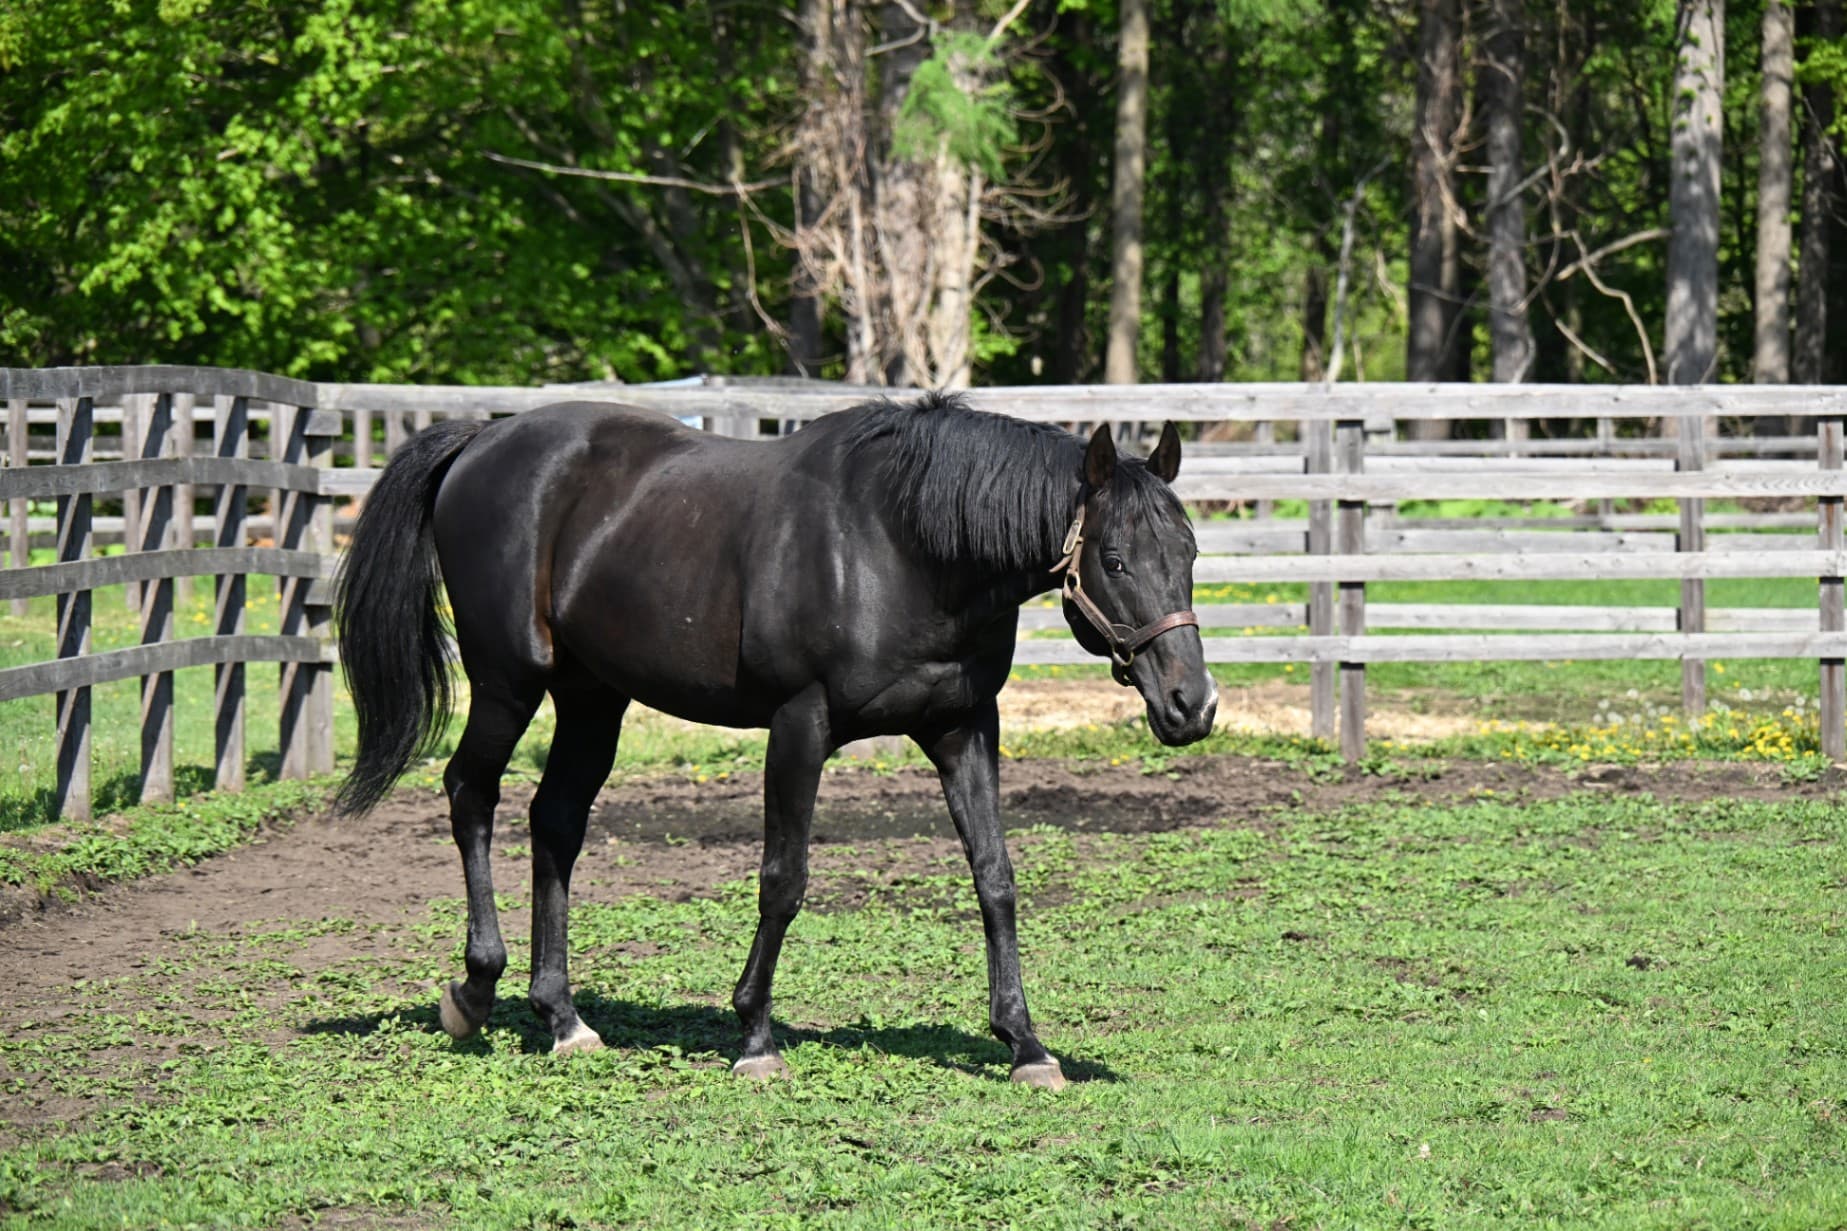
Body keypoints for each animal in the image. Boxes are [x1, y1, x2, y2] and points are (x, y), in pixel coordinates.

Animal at [333, 392, 1216, 1090]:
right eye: (1113, 559)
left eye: (1189, 552)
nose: (1192, 704)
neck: (898, 547)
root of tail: (482, 440)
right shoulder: (800, 724)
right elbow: (782, 878)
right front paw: (754, 1034)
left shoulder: (962, 726)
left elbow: (994, 878)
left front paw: (1024, 1043)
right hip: (508, 682)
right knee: (469, 793)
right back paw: (475, 990)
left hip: (592, 698)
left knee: (554, 822)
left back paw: (563, 1018)